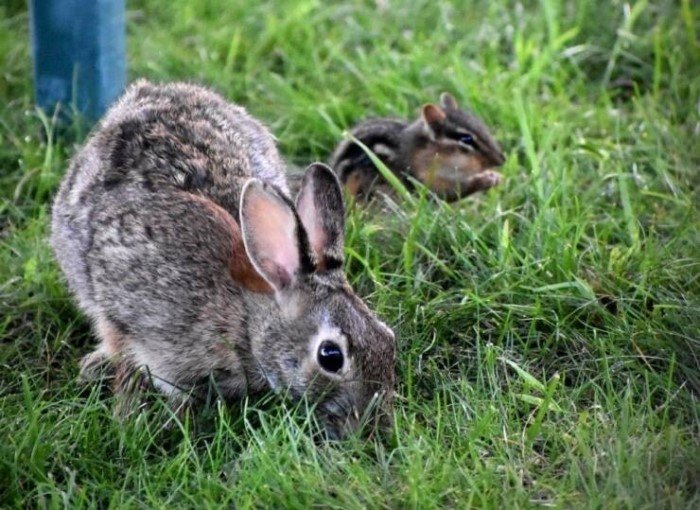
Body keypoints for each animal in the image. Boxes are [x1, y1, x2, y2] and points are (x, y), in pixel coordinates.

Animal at [330, 92, 506, 200]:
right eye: (466, 139)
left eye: (482, 126)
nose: (502, 159)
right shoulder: (424, 181)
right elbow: (448, 194)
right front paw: (486, 179)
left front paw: (493, 175)